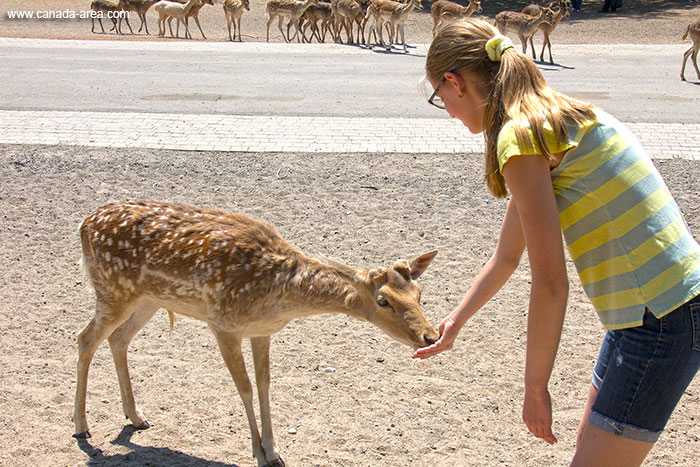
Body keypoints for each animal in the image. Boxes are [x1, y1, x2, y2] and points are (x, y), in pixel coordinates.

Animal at [75, 200, 438, 467]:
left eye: (419, 294)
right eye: (383, 300)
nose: (431, 336)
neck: (277, 297)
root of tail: (84, 224)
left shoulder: (262, 331)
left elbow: (264, 383)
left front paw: (275, 451)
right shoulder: (223, 324)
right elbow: (245, 387)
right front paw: (259, 454)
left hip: (147, 298)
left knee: (118, 338)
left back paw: (135, 416)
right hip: (111, 290)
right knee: (85, 338)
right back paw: (81, 426)